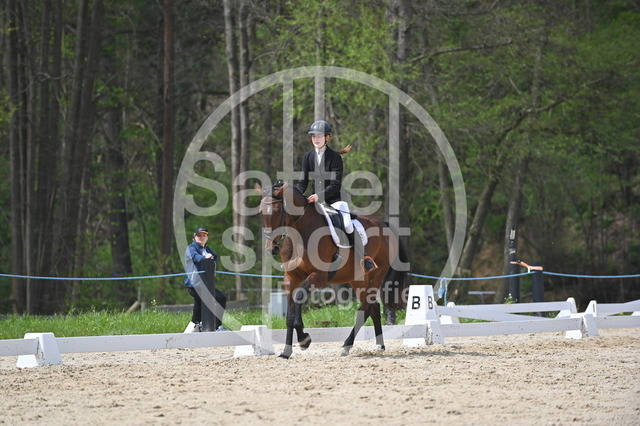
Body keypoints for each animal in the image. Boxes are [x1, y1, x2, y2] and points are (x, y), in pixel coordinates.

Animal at [255, 180, 409, 358]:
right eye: (261, 212)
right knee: (373, 307)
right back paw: (379, 345)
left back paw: (346, 346)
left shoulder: (319, 276)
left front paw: (304, 339)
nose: (271, 249)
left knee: (365, 309)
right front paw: (286, 351)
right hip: (358, 279)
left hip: (377, 274)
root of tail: (383, 224)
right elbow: (290, 312)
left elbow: (299, 296)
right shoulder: (291, 277)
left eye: (279, 211)